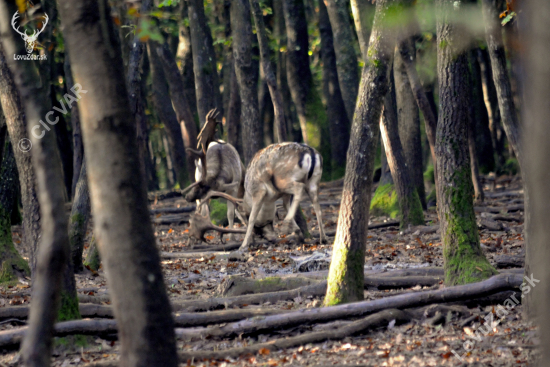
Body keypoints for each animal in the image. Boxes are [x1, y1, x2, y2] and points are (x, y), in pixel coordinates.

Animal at [181, 109, 246, 247]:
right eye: (197, 186)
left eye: (203, 189)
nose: (187, 197)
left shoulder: (233, 188)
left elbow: (231, 213)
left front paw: (232, 237)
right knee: (201, 210)